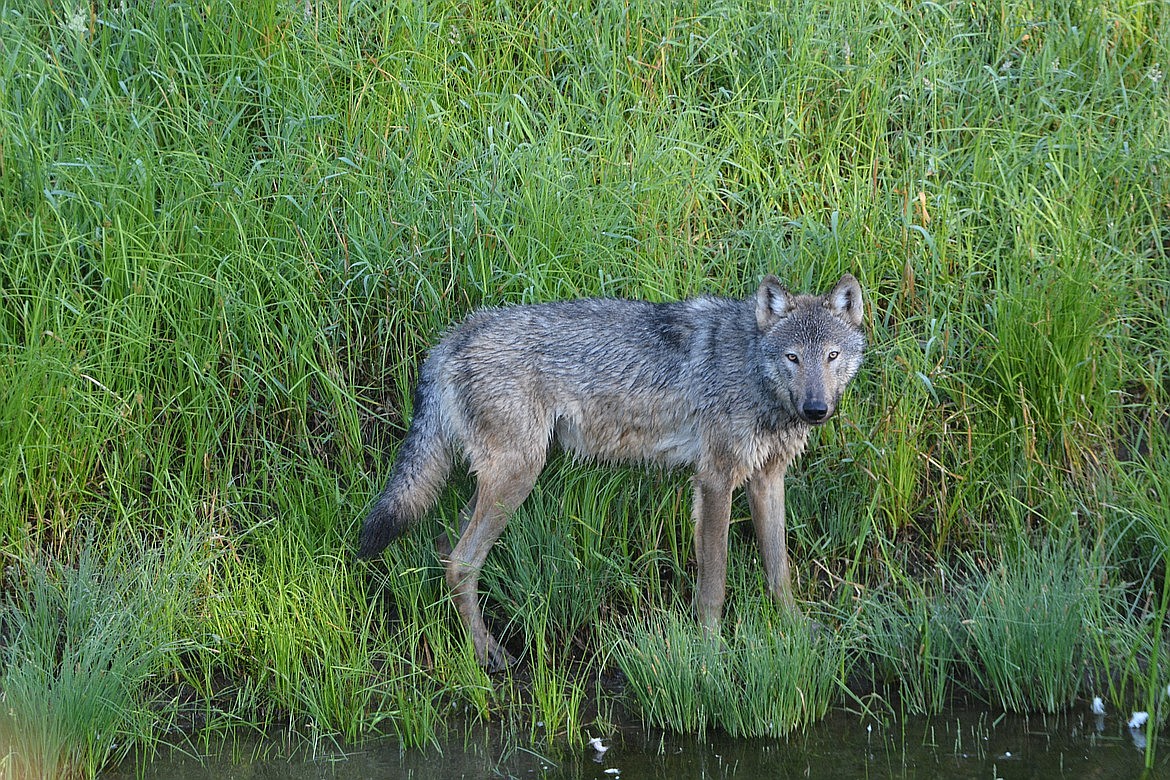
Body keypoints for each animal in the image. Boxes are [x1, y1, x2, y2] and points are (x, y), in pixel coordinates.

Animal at [358, 274, 870, 673]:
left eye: (831, 355)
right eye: (792, 358)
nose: (816, 409)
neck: (752, 368)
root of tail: (453, 337)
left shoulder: (767, 479)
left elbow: (778, 569)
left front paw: (798, 630)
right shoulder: (716, 481)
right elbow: (715, 583)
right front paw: (710, 654)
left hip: (500, 483)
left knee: (446, 548)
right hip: (517, 478)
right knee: (461, 563)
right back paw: (489, 655)